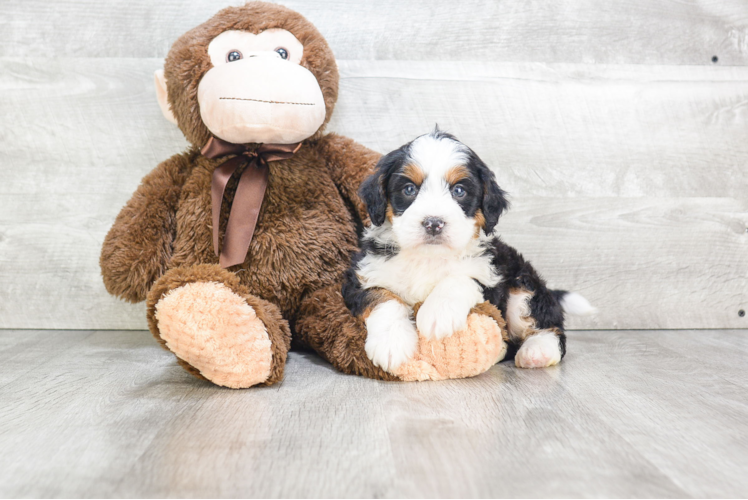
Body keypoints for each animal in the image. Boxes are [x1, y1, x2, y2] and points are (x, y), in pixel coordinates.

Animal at [342, 128, 592, 372]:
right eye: (409, 189)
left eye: (459, 191)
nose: (434, 223)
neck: (428, 258)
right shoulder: (362, 276)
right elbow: (381, 296)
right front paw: (392, 343)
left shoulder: (491, 277)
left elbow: (461, 279)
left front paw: (437, 313)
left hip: (522, 284)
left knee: (549, 326)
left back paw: (537, 350)